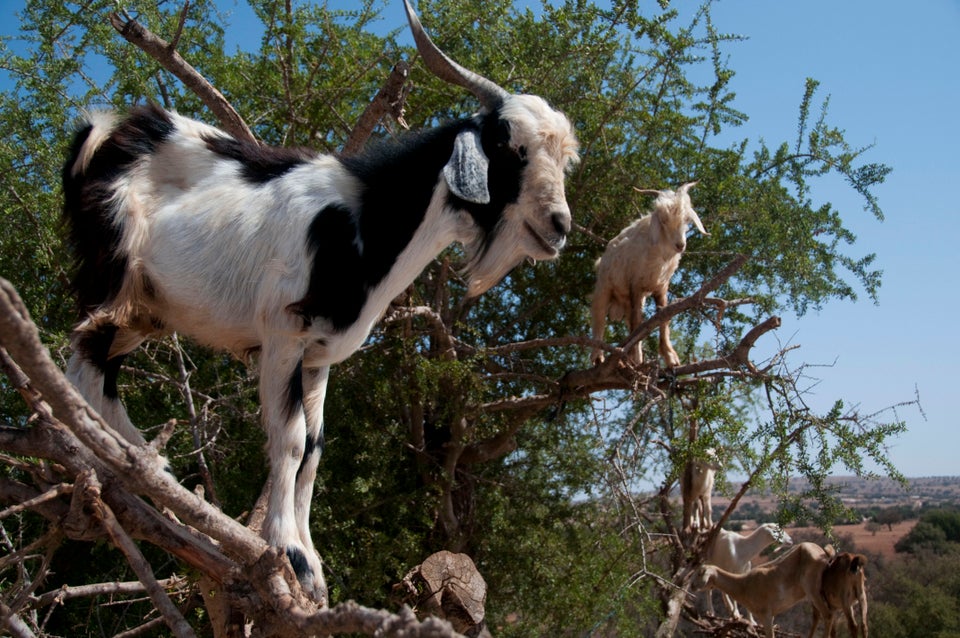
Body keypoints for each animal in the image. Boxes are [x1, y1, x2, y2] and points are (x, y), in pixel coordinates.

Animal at [65, 0, 584, 604]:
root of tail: (104, 130)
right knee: (83, 360)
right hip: (113, 277)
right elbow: (288, 441)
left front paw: (312, 563)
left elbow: (313, 449)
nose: (558, 226)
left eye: (563, 160)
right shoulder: (282, 337)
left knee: (99, 369)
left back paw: (150, 469)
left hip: (148, 309)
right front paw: (289, 553)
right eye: (509, 146)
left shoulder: (319, 356)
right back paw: (118, 464)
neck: (364, 222)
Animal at [584, 182, 704, 368]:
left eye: (686, 220)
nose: (680, 245)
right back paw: (598, 357)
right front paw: (638, 358)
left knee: (630, 323)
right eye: (663, 220)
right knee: (600, 317)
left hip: (628, 299)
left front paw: (670, 358)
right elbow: (637, 322)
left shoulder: (661, 287)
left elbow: (662, 318)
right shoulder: (635, 284)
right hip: (605, 287)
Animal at [692, 544, 836, 638]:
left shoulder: (766, 614)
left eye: (700, 573)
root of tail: (825, 553)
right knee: (819, 616)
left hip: (812, 589)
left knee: (828, 615)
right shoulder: (771, 616)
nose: (693, 586)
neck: (743, 585)